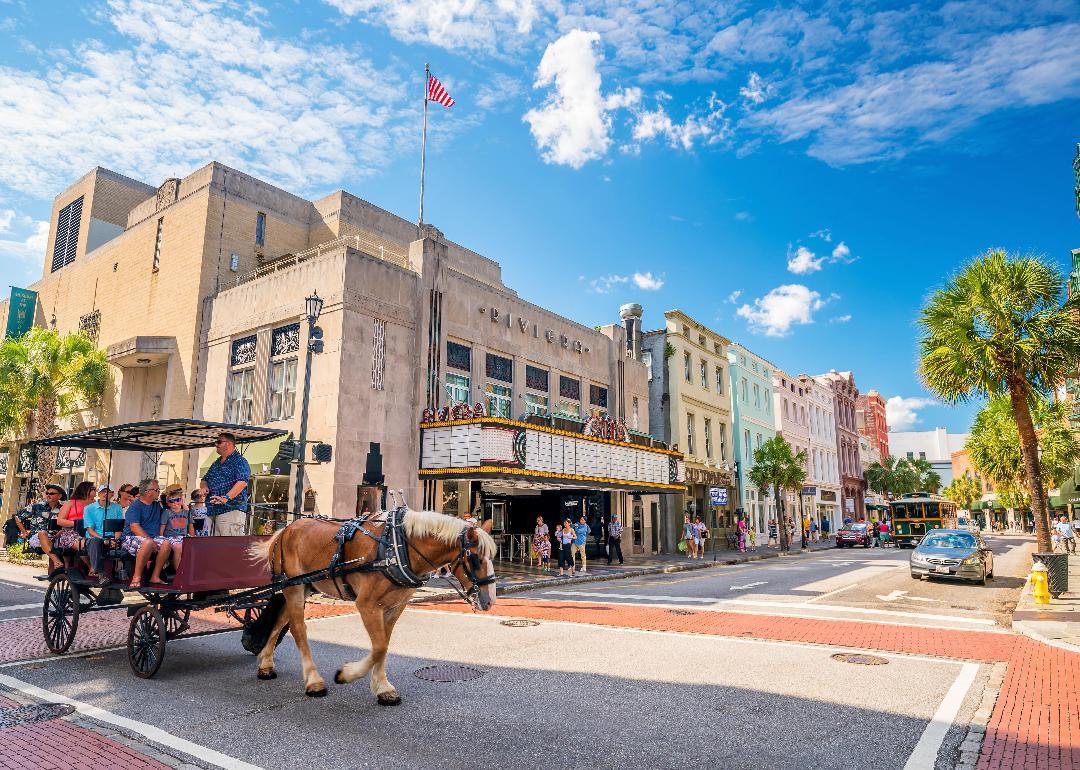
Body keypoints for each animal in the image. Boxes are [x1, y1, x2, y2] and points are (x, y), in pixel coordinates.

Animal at [247, 507, 494, 704]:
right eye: (476, 558)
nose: (490, 600)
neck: (398, 546)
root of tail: (285, 530)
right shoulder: (366, 604)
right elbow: (379, 647)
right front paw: (346, 674)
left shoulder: (395, 606)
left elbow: (383, 644)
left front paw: (382, 688)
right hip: (294, 588)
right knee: (298, 629)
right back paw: (313, 681)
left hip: (304, 586)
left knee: (281, 620)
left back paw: (265, 664)